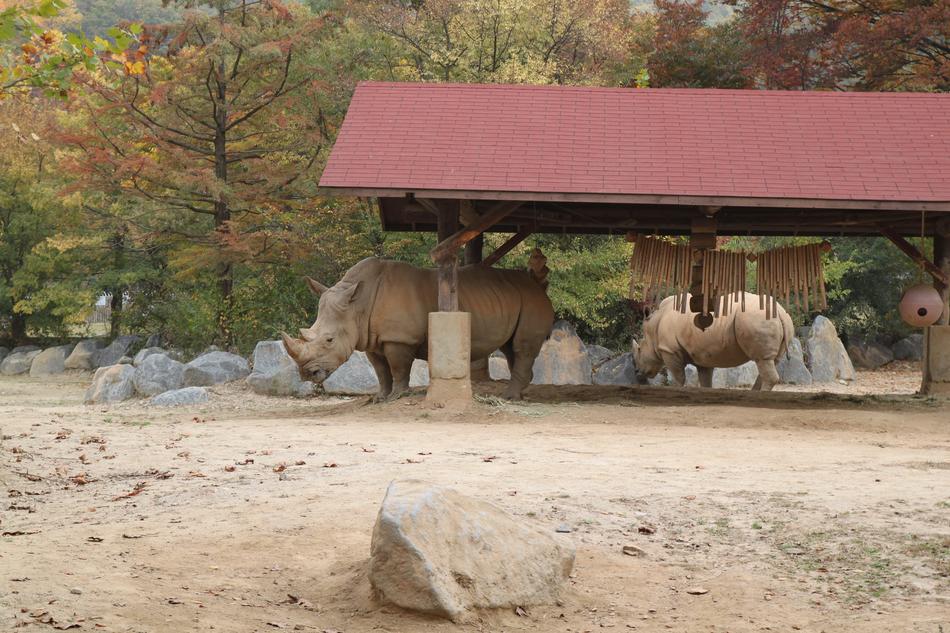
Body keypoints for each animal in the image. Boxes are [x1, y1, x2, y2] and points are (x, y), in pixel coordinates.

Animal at [281, 257, 554, 400]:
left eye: (329, 340)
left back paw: (508, 398)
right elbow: (381, 370)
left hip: (532, 301)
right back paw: (519, 393)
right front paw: (380, 398)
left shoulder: (399, 339)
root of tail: (538, 286)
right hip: (514, 299)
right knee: (511, 347)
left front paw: (397, 396)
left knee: (522, 347)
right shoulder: (370, 338)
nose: (306, 374)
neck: (357, 305)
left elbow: (398, 367)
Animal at [633, 292, 794, 391]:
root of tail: (781, 312)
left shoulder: (669, 350)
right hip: (775, 320)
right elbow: (705, 380)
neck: (654, 326)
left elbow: (679, 377)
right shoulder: (702, 354)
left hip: (756, 318)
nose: (637, 372)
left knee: (762, 360)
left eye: (639, 349)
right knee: (770, 361)